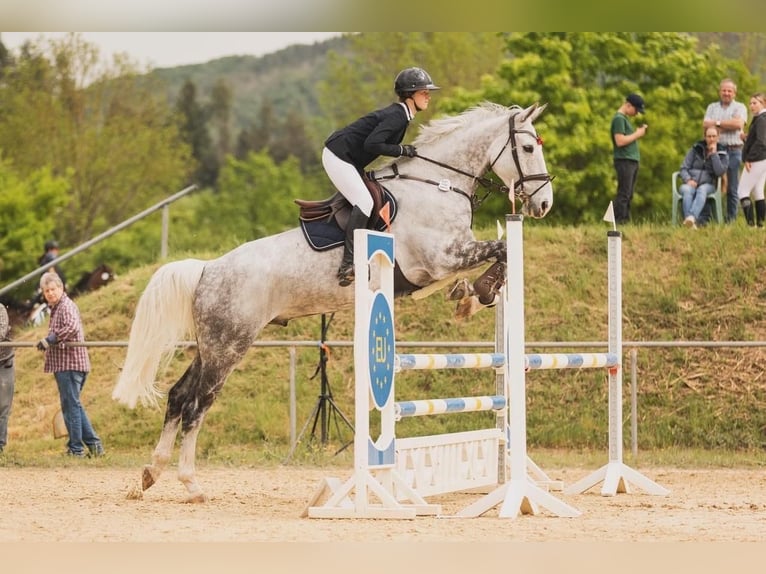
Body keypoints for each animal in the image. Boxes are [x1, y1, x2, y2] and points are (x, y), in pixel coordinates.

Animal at [112, 101, 555, 503]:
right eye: (527, 147)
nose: (544, 204)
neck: (438, 184)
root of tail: (207, 268)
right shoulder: (441, 258)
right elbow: (500, 249)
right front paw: (480, 293)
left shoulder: (440, 265)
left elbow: (490, 259)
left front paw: (468, 296)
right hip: (228, 346)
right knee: (196, 404)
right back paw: (191, 485)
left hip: (210, 345)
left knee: (178, 396)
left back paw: (150, 474)